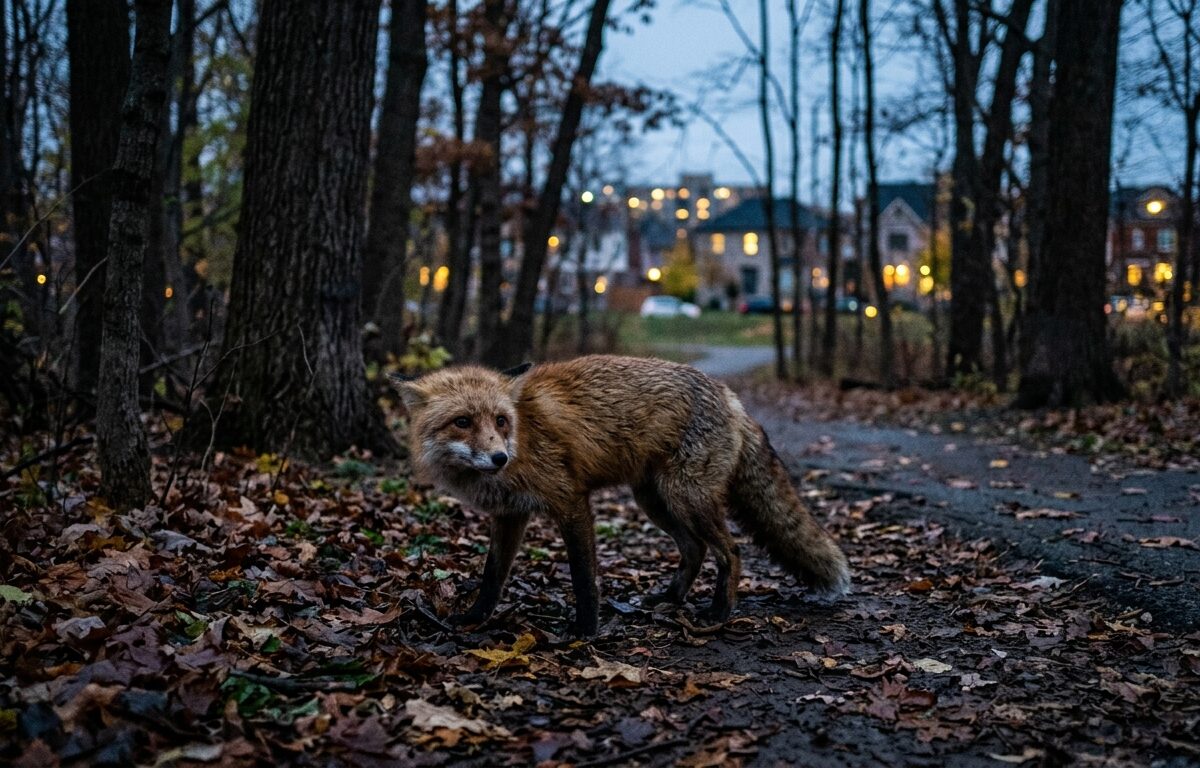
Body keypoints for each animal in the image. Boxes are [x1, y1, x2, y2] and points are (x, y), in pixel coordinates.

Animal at [392, 355, 850, 636]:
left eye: (501, 421)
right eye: (463, 421)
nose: (499, 457)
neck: (524, 434)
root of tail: (729, 396)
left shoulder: (571, 501)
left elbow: (583, 577)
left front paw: (585, 631)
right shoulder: (509, 515)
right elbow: (492, 577)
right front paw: (474, 618)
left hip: (686, 498)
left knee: (731, 551)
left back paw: (719, 613)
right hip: (656, 502)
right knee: (695, 549)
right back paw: (670, 597)